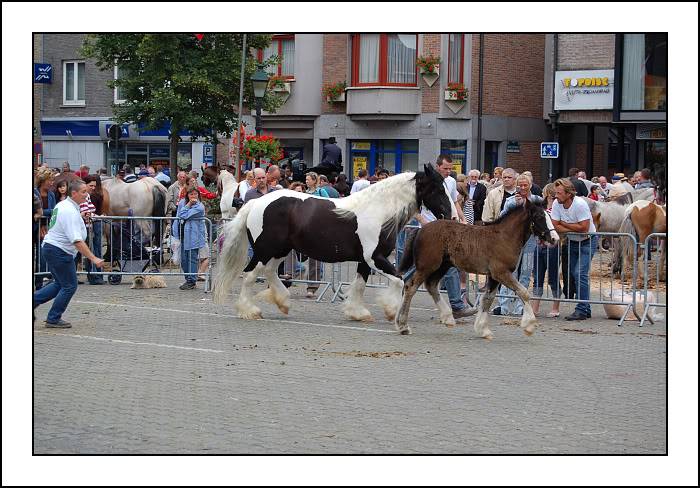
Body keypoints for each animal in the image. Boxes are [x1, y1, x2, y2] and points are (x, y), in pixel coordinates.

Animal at [211, 166, 456, 322]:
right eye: (438, 189)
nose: (453, 217)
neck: (379, 211)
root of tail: (254, 203)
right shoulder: (375, 259)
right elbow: (398, 280)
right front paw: (391, 311)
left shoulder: (365, 262)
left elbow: (360, 285)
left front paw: (357, 313)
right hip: (264, 250)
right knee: (250, 275)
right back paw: (249, 311)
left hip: (280, 250)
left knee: (270, 272)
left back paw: (283, 302)